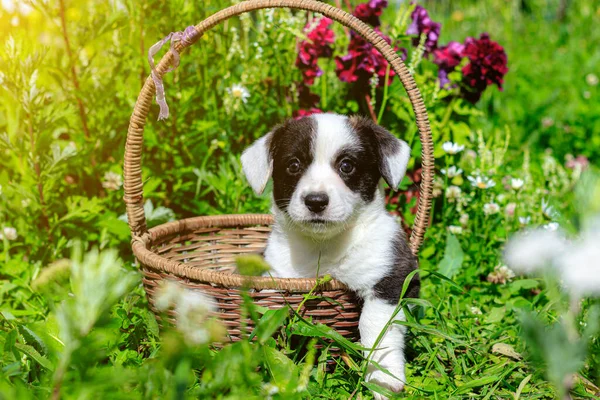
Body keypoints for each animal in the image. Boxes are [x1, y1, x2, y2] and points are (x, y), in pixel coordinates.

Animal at [239, 112, 418, 396]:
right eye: (293, 165)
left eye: (347, 166)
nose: (316, 201)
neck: (323, 246)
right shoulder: (277, 273)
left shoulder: (393, 275)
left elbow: (375, 324)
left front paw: (383, 377)